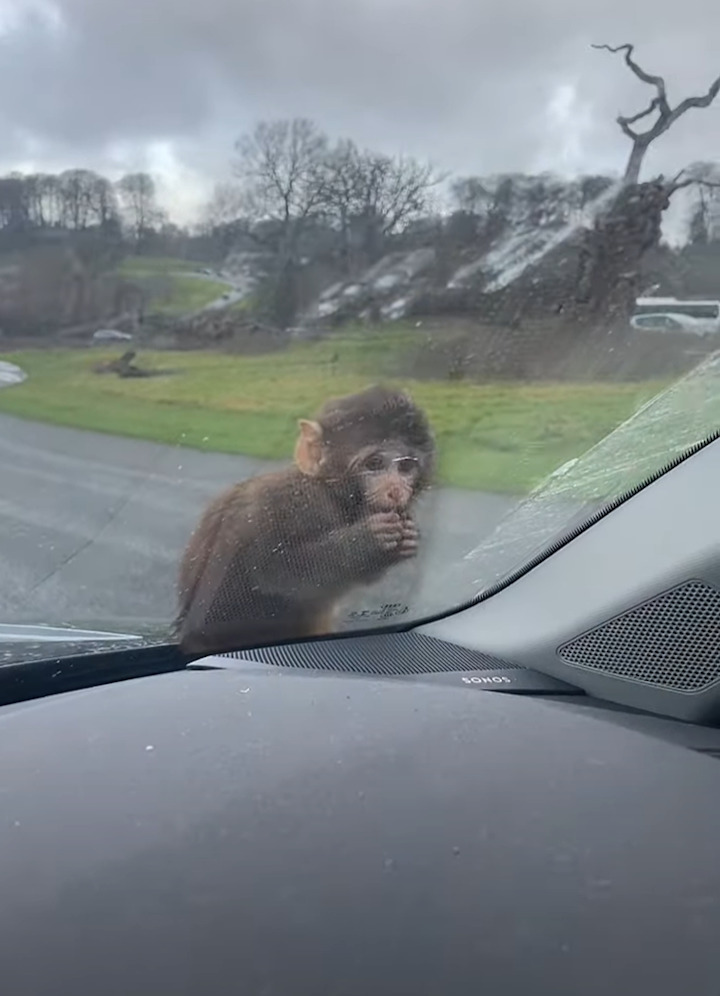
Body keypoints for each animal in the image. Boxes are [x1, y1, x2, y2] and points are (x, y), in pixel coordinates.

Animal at [177, 386, 436, 656]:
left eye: (405, 467)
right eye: (374, 463)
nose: (395, 490)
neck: (331, 491)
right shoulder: (298, 503)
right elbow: (274, 571)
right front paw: (370, 542)